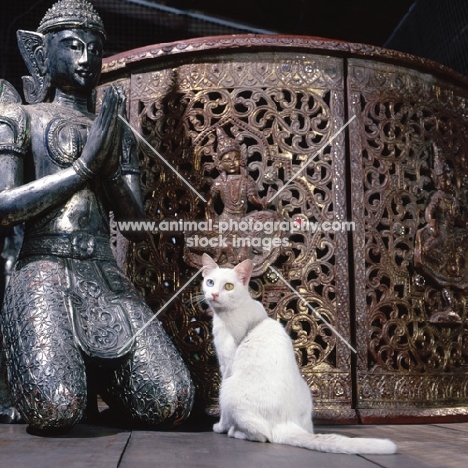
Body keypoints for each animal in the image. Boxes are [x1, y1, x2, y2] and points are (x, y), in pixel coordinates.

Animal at [203, 254, 396, 456]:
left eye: (228, 286)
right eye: (210, 282)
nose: (214, 294)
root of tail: (287, 423)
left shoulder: (226, 366)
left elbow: (223, 414)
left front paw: (220, 427)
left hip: (228, 390)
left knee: (262, 436)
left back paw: (234, 432)